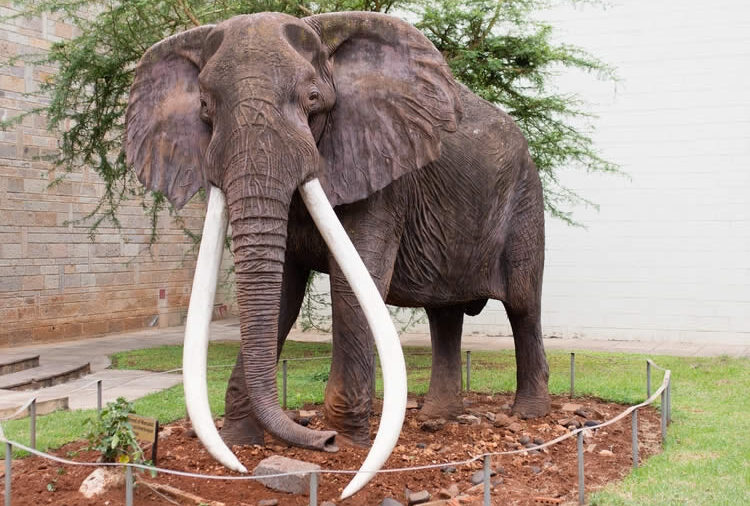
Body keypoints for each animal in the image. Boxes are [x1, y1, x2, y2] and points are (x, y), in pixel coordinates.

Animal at [125, 11, 549, 496]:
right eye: (205, 109)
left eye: (312, 99)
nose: (320, 439)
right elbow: (282, 294)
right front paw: (239, 440)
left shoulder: (381, 168)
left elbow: (353, 286)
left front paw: (346, 442)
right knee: (444, 315)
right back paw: (436, 417)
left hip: (526, 198)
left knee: (522, 306)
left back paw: (528, 414)